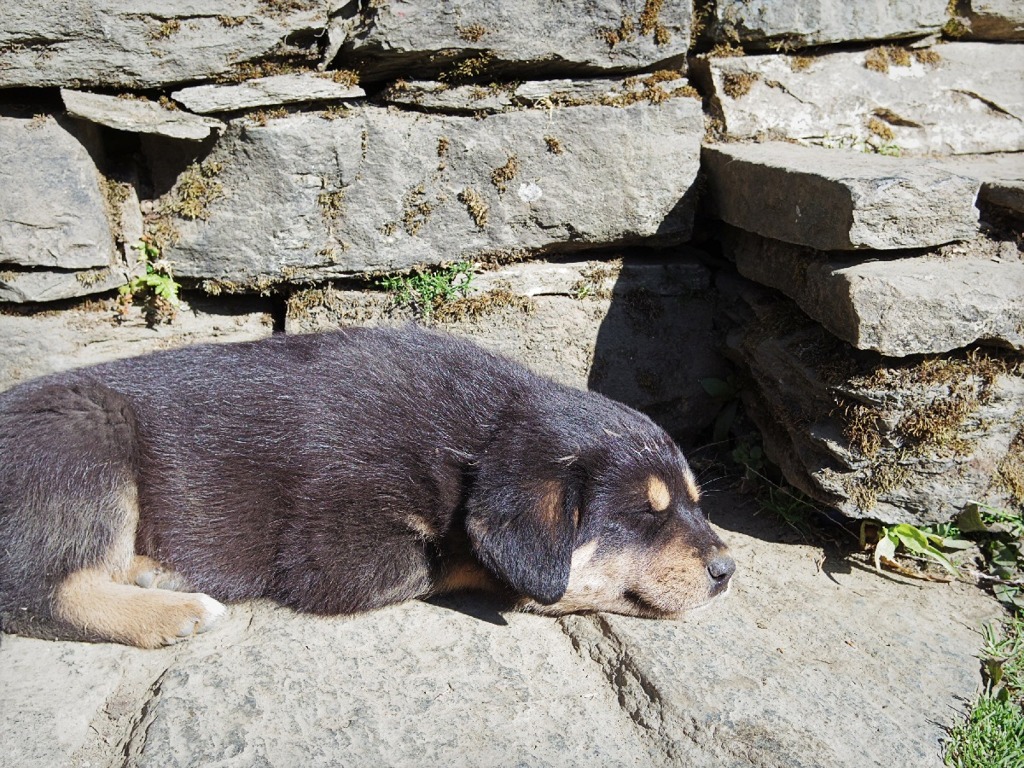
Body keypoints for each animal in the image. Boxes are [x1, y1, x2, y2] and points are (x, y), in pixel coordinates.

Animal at [0, 325, 737, 651]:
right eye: (643, 517)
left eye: (696, 503)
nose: (729, 570)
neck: (477, 441)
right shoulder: (334, 549)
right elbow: (447, 560)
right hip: (84, 434)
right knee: (38, 592)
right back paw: (174, 610)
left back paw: (154, 573)